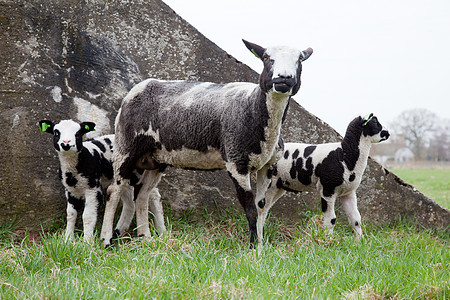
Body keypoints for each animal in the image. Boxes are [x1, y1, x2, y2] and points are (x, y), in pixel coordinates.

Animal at [101, 38, 312, 247]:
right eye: (266, 58)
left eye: (300, 59)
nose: (283, 78)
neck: (253, 108)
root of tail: (137, 89)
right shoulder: (236, 162)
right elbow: (250, 208)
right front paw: (253, 248)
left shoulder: (268, 166)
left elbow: (261, 207)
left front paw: (260, 246)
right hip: (126, 146)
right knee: (114, 190)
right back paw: (106, 240)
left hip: (156, 157)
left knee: (142, 193)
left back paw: (146, 238)